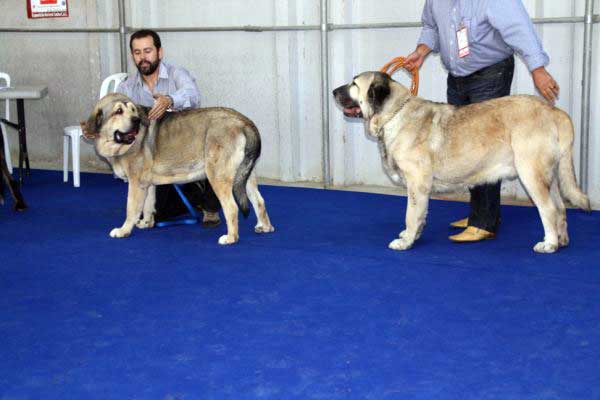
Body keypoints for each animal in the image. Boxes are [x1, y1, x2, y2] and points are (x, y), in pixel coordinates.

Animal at [332, 72, 592, 253]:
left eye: (354, 84)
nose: (334, 91)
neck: (394, 114)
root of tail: (553, 111)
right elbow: (420, 214)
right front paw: (412, 235)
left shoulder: (417, 184)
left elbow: (411, 213)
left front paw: (405, 242)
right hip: (551, 176)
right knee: (560, 208)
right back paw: (562, 240)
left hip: (531, 174)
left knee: (548, 209)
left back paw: (549, 244)